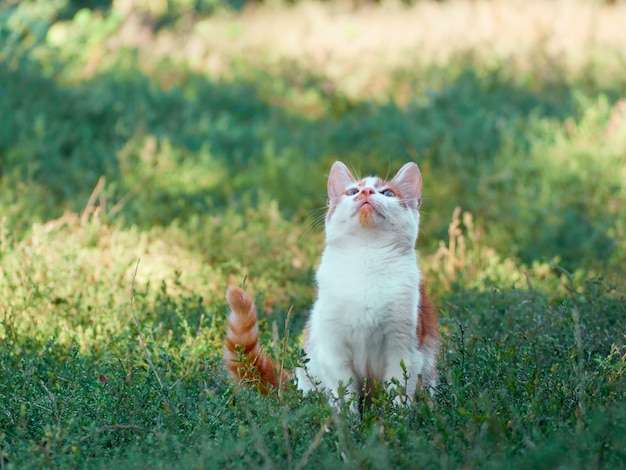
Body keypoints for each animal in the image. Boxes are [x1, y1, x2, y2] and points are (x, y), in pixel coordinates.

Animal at [224, 161, 438, 408]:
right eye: (353, 191)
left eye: (387, 193)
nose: (367, 192)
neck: (367, 260)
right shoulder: (333, 350)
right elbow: (344, 394)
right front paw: (347, 418)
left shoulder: (405, 350)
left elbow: (399, 393)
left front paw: (398, 417)